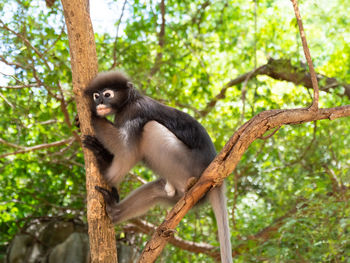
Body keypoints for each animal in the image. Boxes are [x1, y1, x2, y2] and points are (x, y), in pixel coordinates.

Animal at [82, 72, 232, 263]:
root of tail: (214, 175)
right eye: (96, 95)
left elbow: (124, 147)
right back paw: (114, 210)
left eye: (107, 94)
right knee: (157, 189)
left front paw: (92, 117)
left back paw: (106, 172)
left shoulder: (134, 111)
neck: (128, 102)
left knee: (146, 132)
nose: (99, 102)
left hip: (186, 165)